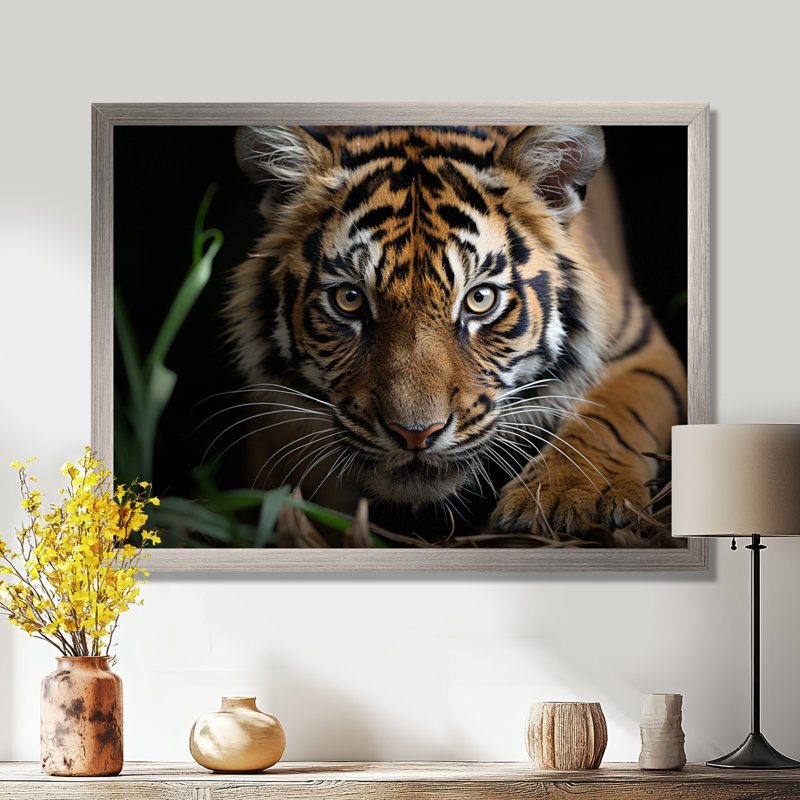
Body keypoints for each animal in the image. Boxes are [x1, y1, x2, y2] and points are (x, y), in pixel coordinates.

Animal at [224, 125, 687, 543]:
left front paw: (571, 497)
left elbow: (611, 416)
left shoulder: (639, 344)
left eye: (479, 299)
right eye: (349, 299)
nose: (415, 435)